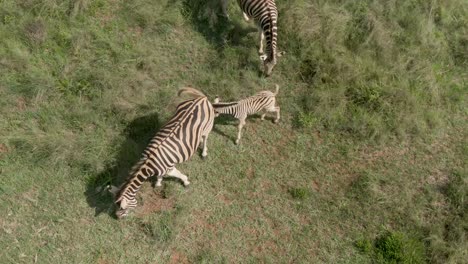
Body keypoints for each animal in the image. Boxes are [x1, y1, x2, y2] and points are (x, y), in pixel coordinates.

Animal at [110, 87, 215, 220]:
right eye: (115, 206)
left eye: (123, 208)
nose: (117, 218)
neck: (149, 163)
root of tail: (202, 99)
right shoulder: (162, 169)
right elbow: (160, 176)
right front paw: (158, 183)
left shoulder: (170, 168)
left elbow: (179, 175)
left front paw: (186, 182)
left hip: (208, 127)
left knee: (205, 138)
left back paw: (204, 153)